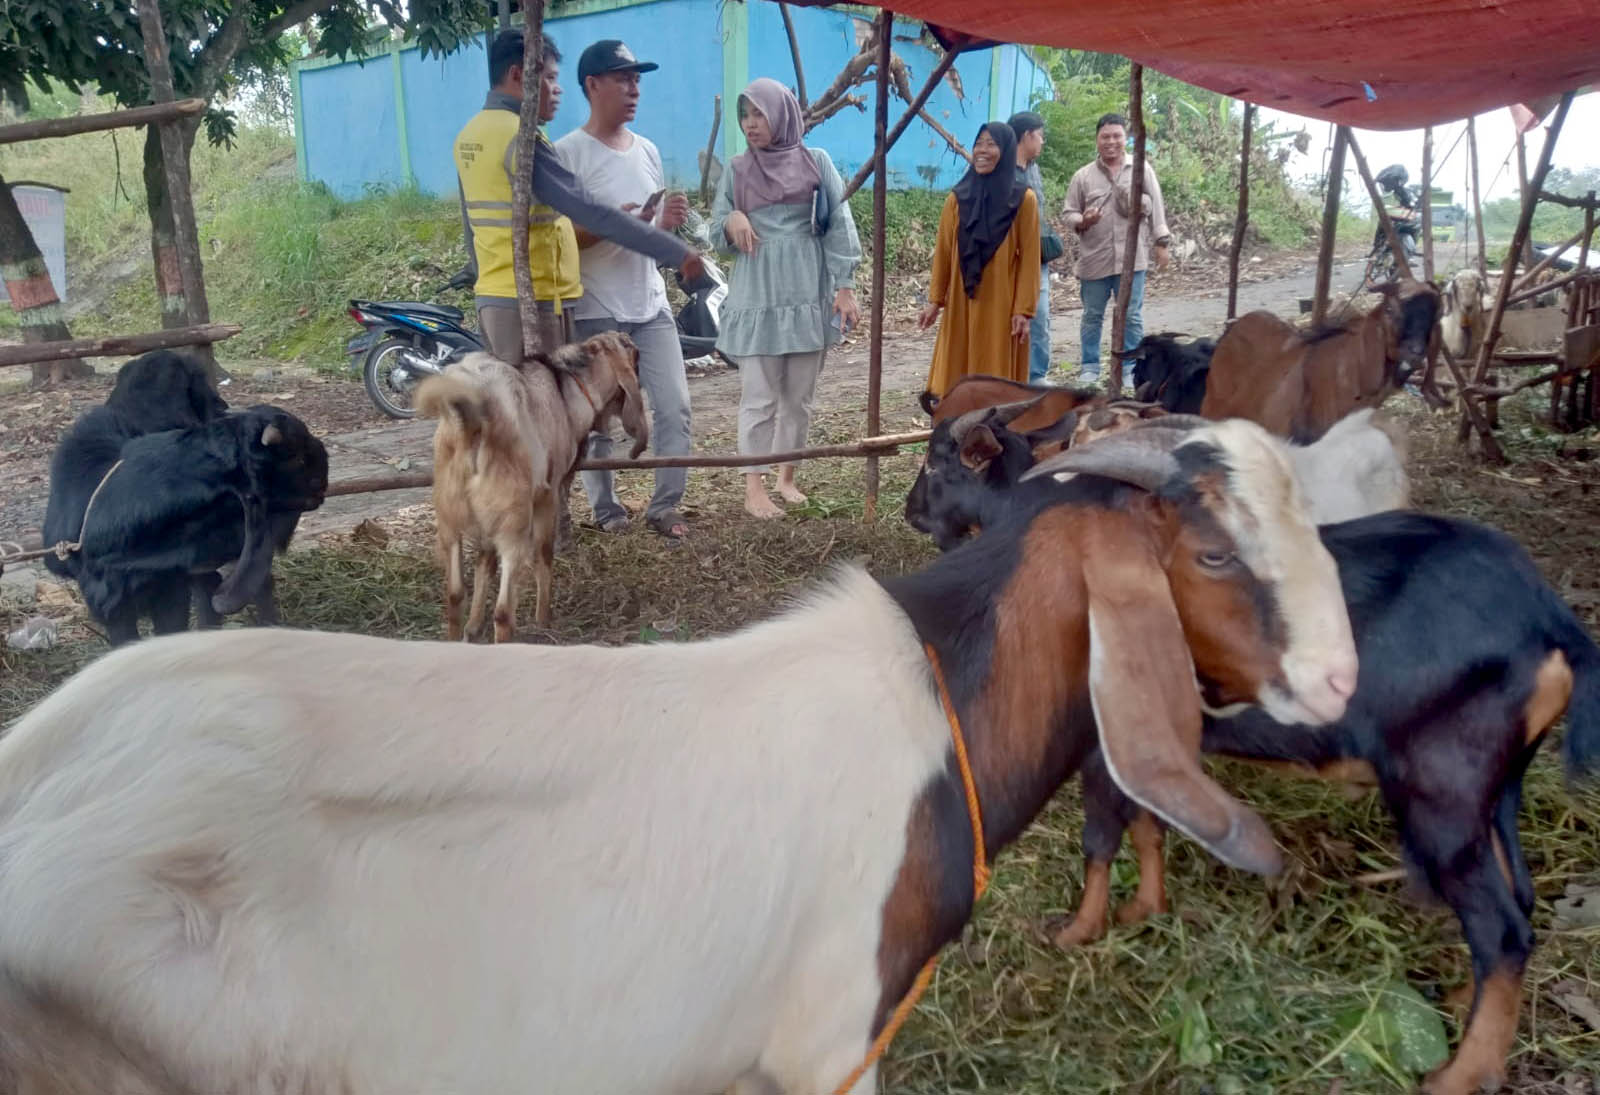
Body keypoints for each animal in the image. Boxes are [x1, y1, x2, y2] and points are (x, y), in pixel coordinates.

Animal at [416, 332, 646, 640]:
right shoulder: (547, 495)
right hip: (514, 520)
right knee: (503, 612)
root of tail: (471, 420)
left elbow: (485, 562)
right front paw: (543, 619)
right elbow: (544, 553)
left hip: (450, 518)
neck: (568, 391)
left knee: (454, 596)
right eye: (631, 348)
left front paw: (474, 627)